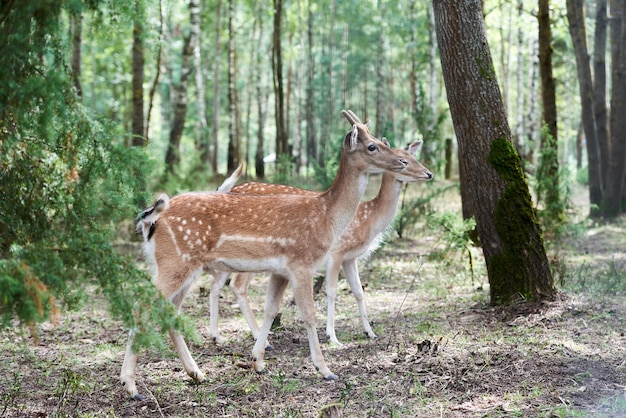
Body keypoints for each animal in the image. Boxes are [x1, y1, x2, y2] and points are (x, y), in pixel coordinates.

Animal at [121, 109, 410, 400]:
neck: (326, 217)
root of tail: (150, 220)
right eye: (372, 146)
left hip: (181, 266)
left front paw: (258, 362)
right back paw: (131, 385)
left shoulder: (280, 270)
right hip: (175, 261)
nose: (402, 161)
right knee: (142, 306)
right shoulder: (301, 262)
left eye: (380, 140)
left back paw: (197, 373)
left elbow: (271, 309)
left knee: (170, 312)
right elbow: (309, 313)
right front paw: (325, 369)